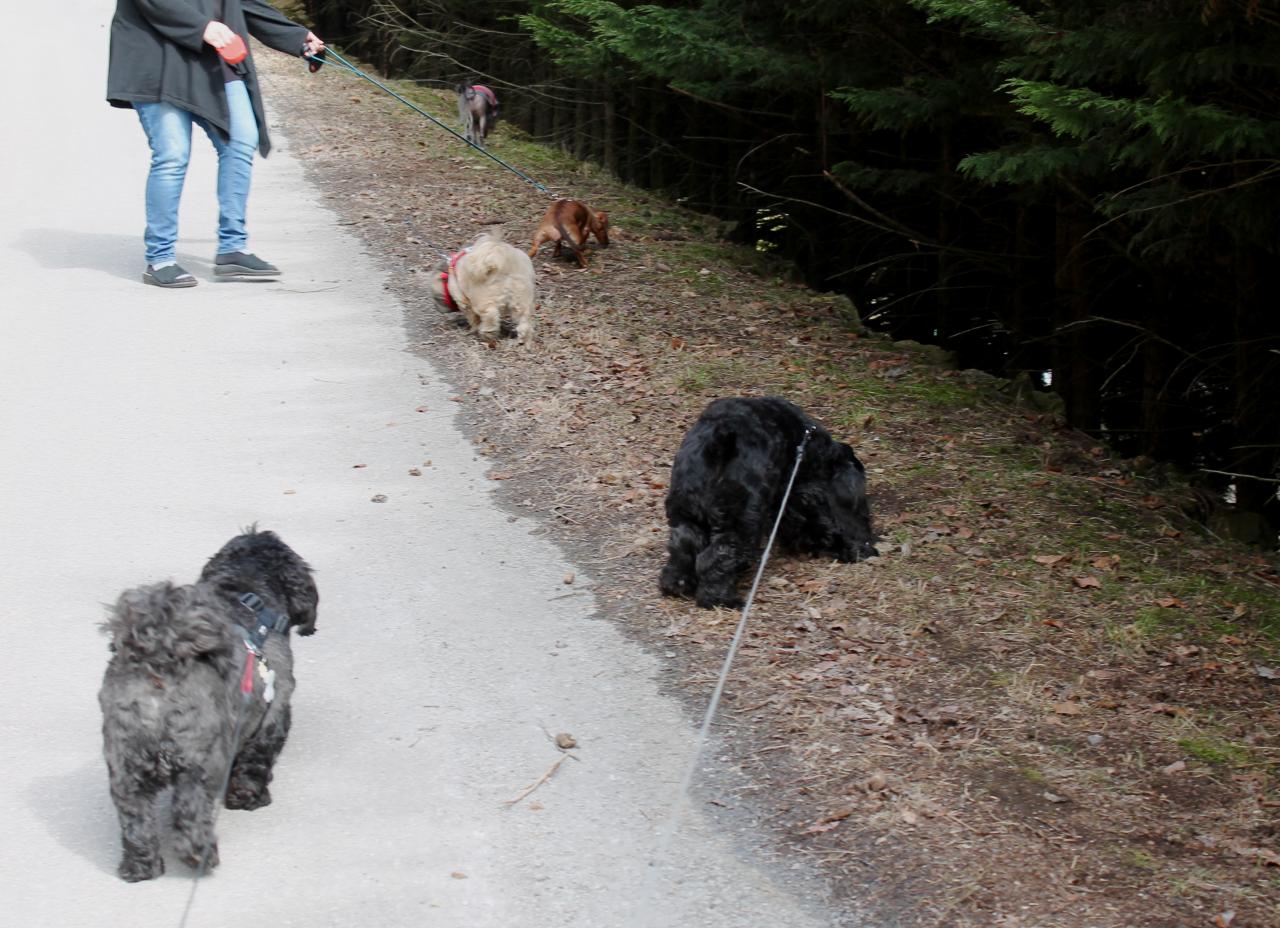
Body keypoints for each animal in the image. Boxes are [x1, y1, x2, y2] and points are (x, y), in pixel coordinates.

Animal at [97, 524, 317, 880]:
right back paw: (200, 855)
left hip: (126, 765)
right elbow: (257, 759)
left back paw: (141, 866)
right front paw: (249, 796)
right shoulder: (274, 712)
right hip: (199, 762)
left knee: (134, 818)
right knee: (189, 813)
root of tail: (158, 668)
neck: (245, 593)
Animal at [660, 396, 880, 609]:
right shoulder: (798, 497)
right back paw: (721, 600)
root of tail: (716, 446)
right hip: (740, 523)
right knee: (715, 558)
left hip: (686, 514)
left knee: (684, 547)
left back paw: (677, 583)